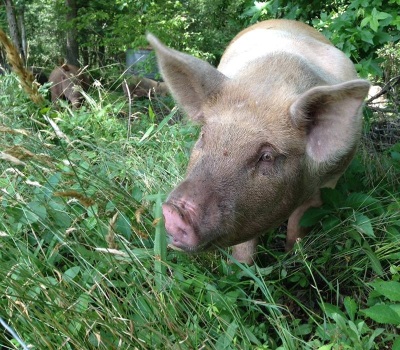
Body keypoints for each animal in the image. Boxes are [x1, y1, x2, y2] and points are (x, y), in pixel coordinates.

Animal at [148, 19, 372, 264]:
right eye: (204, 135)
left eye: (267, 156)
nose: (174, 212)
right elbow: (245, 245)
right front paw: (239, 267)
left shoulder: (332, 177)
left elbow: (300, 223)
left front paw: (293, 256)